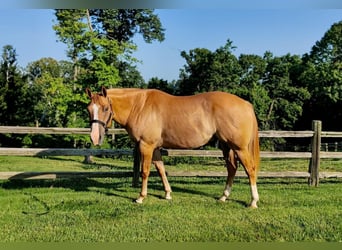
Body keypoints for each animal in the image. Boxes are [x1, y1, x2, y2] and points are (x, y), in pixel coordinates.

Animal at [85, 87, 260, 208]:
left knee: (250, 169)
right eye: (88, 109)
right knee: (232, 168)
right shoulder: (155, 148)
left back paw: (253, 201)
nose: (95, 137)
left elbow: (145, 172)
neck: (139, 106)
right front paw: (168, 194)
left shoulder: (146, 146)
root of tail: (246, 104)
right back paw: (224, 196)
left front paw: (141, 197)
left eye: (105, 108)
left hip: (239, 148)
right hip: (226, 146)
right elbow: (161, 169)